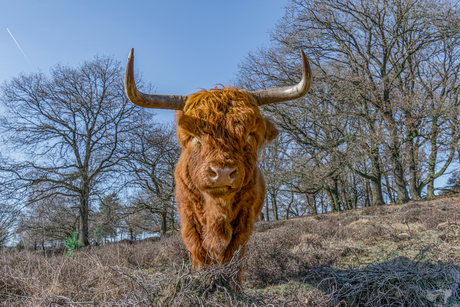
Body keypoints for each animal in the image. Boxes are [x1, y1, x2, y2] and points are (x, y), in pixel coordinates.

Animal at [124, 48, 310, 292]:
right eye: (194, 136)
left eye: (250, 135)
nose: (222, 173)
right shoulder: (188, 217)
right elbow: (199, 253)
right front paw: (201, 282)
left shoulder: (245, 219)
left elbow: (234, 255)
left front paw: (234, 288)